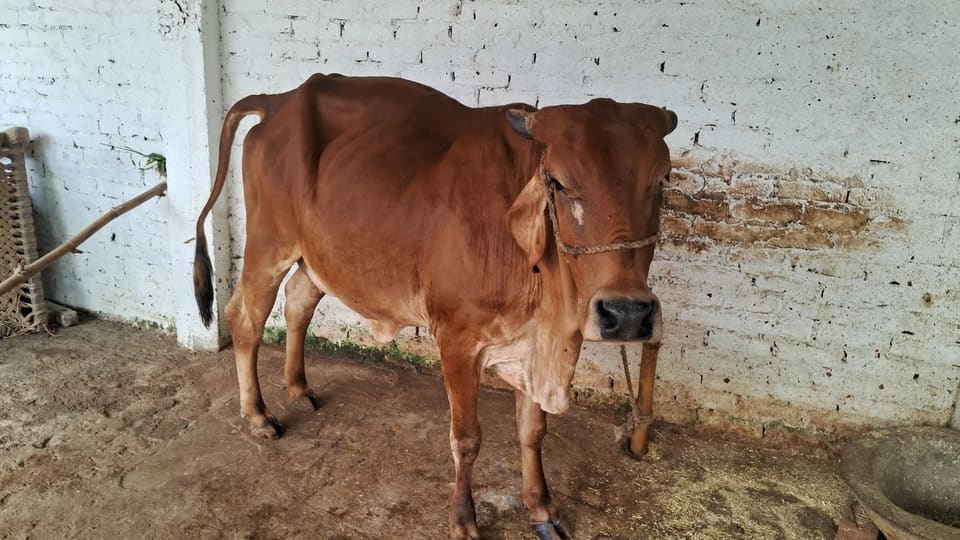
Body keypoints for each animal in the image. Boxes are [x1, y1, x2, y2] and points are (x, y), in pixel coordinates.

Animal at [193, 74, 676, 539]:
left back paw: (298, 387)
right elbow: (466, 438)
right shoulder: (457, 340)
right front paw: (463, 521)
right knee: (246, 319)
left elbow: (533, 432)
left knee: (297, 303)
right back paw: (259, 414)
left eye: (662, 182)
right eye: (558, 182)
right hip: (268, 245)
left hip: (317, 257)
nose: (627, 314)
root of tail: (278, 101)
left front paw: (541, 510)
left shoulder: (530, 345)